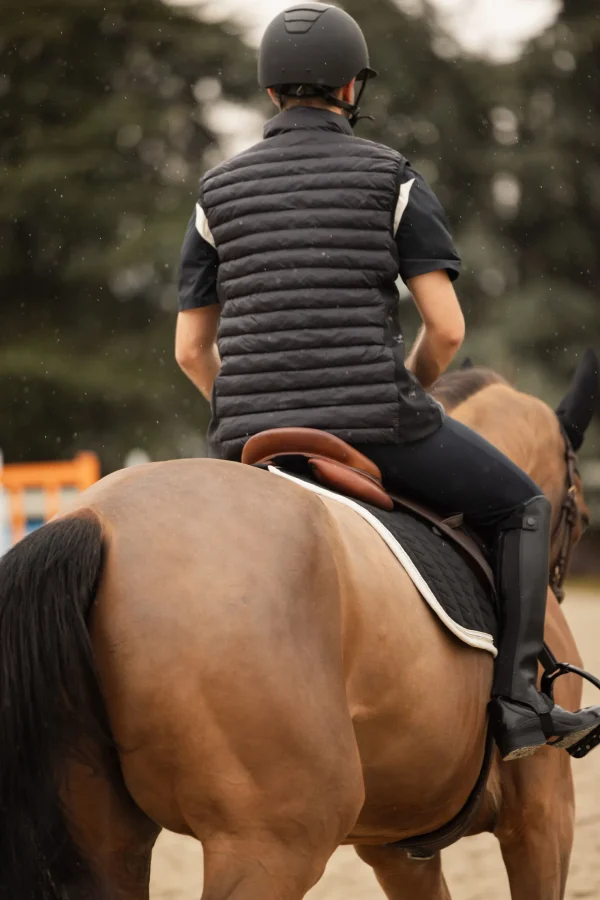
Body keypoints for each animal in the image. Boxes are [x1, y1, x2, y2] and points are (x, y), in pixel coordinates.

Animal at [0, 354, 596, 900]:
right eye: (582, 517)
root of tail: (95, 521)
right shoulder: (544, 815)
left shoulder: (395, 845)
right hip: (275, 842)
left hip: (105, 836)